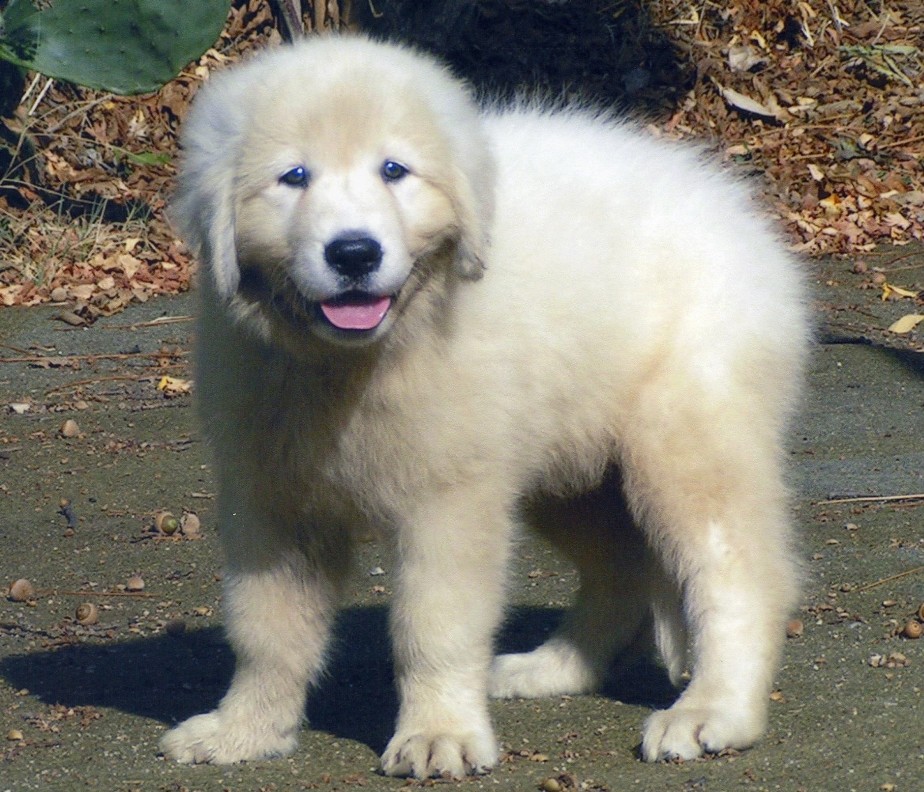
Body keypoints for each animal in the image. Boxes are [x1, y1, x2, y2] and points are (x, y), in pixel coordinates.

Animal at [162, 35, 812, 780]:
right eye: (293, 176)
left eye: (395, 171)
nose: (354, 253)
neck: (356, 360)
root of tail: (735, 208)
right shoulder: (271, 499)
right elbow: (266, 631)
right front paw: (245, 731)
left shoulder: (448, 500)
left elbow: (433, 627)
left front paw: (437, 733)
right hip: (569, 462)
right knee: (621, 568)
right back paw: (551, 669)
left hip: (682, 440)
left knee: (738, 574)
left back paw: (715, 713)